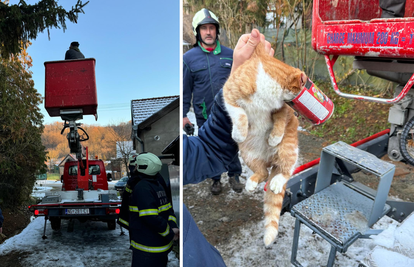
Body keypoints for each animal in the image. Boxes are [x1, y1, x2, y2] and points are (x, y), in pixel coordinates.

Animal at [223, 41, 308, 247]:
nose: (297, 107)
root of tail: (270, 160)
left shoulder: (282, 110)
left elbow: (279, 122)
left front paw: (274, 137)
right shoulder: (229, 94)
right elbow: (240, 115)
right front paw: (239, 132)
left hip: (288, 150)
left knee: (285, 171)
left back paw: (276, 181)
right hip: (248, 155)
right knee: (262, 173)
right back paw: (251, 183)